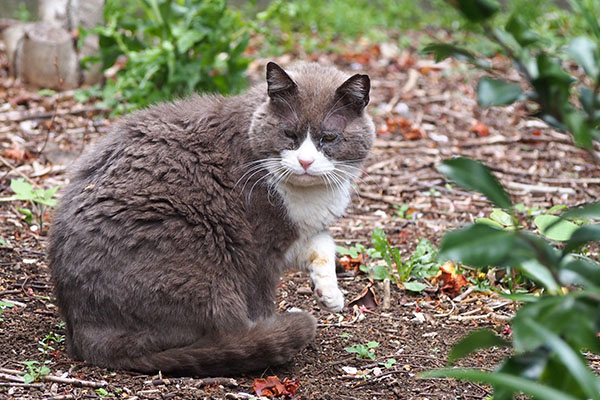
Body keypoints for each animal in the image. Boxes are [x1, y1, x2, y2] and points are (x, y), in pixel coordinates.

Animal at [48, 61, 376, 376]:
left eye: (328, 138)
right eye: (289, 134)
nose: (305, 161)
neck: (307, 195)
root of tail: (84, 330)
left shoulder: (295, 233)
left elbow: (324, 244)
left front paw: (329, 293)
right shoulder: (261, 246)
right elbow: (261, 297)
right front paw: (272, 325)